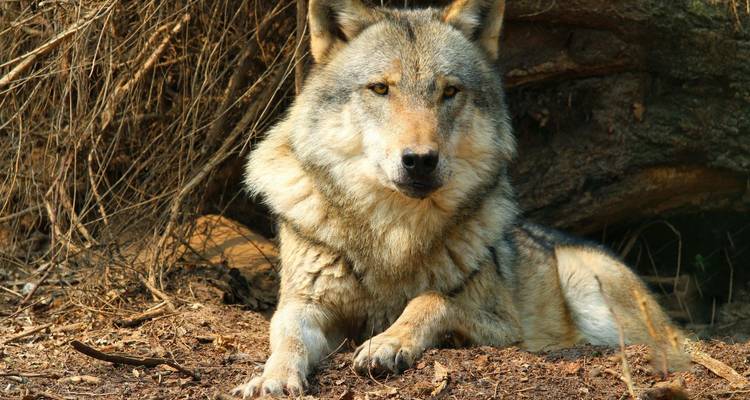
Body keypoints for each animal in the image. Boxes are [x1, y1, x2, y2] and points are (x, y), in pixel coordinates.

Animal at [233, 0, 683, 397]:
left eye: (449, 92)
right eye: (380, 88)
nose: (419, 160)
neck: (394, 233)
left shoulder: (504, 325)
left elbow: (430, 299)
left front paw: (389, 342)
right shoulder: (303, 303)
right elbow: (287, 338)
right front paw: (271, 378)